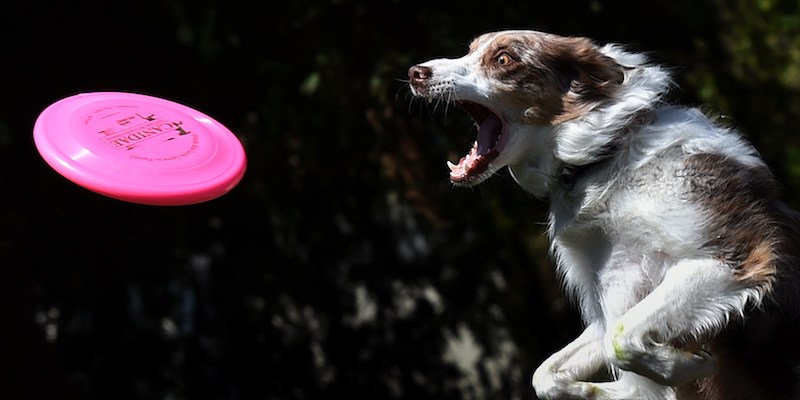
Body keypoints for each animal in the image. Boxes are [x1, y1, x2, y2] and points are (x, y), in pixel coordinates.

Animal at [410, 29, 800, 398]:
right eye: (469, 50)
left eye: (504, 59)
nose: (416, 73)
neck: (602, 163)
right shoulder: (608, 301)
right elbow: (548, 375)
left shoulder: (737, 258)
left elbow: (622, 341)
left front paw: (692, 366)